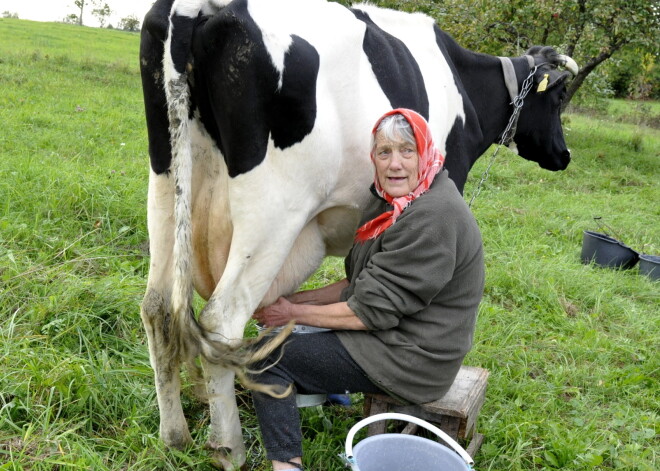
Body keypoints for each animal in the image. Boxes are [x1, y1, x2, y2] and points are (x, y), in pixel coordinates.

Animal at [139, 0, 576, 466]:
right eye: (558, 97)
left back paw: (175, 435)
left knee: (158, 308)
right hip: (273, 211)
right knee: (220, 322)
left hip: (166, 182)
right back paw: (229, 449)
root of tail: (198, 8)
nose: (564, 155)